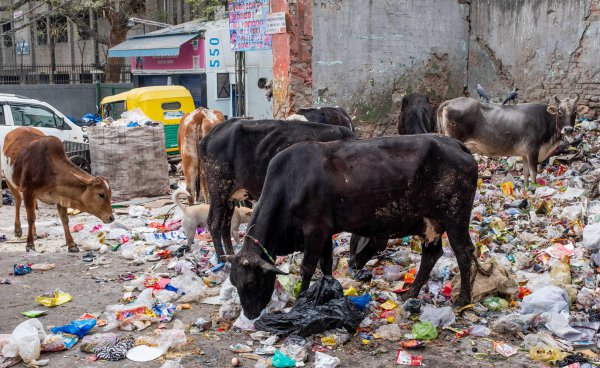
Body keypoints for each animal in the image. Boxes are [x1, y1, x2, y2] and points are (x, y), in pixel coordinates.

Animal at [199, 118, 354, 258]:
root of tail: (212, 133)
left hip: (229, 196)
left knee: (225, 226)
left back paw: (230, 255)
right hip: (218, 187)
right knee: (214, 224)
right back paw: (222, 259)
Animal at [227, 135, 480, 320]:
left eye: (251, 282)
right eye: (234, 281)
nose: (249, 315)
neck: (290, 182)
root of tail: (456, 144)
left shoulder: (314, 229)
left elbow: (307, 267)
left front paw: (300, 301)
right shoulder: (326, 231)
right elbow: (326, 265)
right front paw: (329, 292)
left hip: (455, 216)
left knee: (463, 252)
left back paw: (463, 300)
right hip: (430, 223)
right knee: (431, 255)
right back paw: (410, 293)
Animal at [438, 95, 580, 187]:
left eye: (575, 112)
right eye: (560, 112)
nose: (568, 129)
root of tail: (450, 101)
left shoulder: (525, 154)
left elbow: (526, 174)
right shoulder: (532, 149)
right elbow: (534, 173)